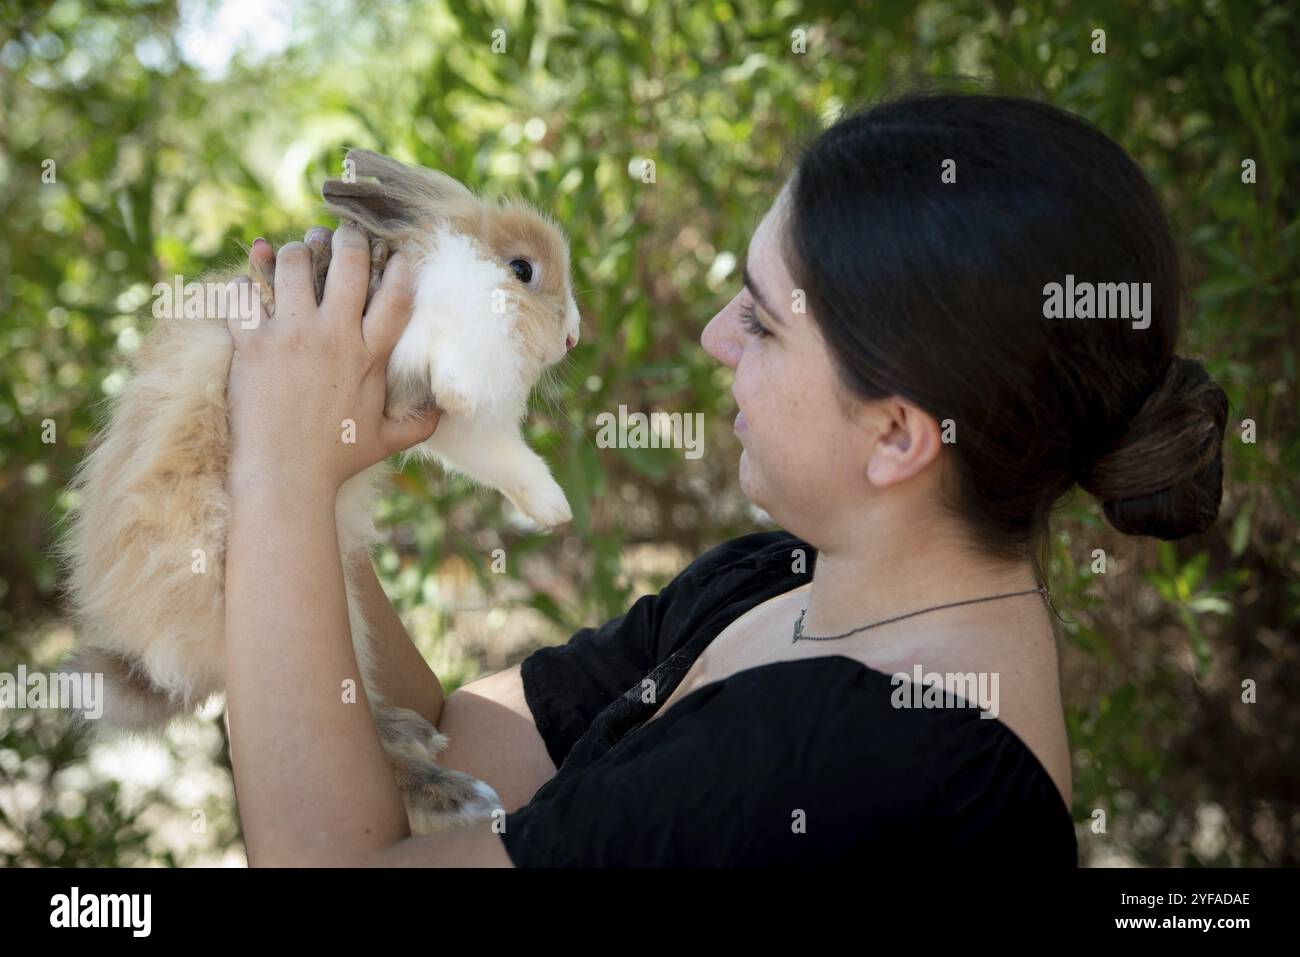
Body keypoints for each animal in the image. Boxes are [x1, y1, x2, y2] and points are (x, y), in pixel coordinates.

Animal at [56, 149, 581, 834]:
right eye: (522, 269)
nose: (572, 337)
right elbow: (456, 375)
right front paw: (461, 384)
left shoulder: (451, 428)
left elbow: (503, 458)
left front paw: (554, 511)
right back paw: (454, 794)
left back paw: (410, 732)